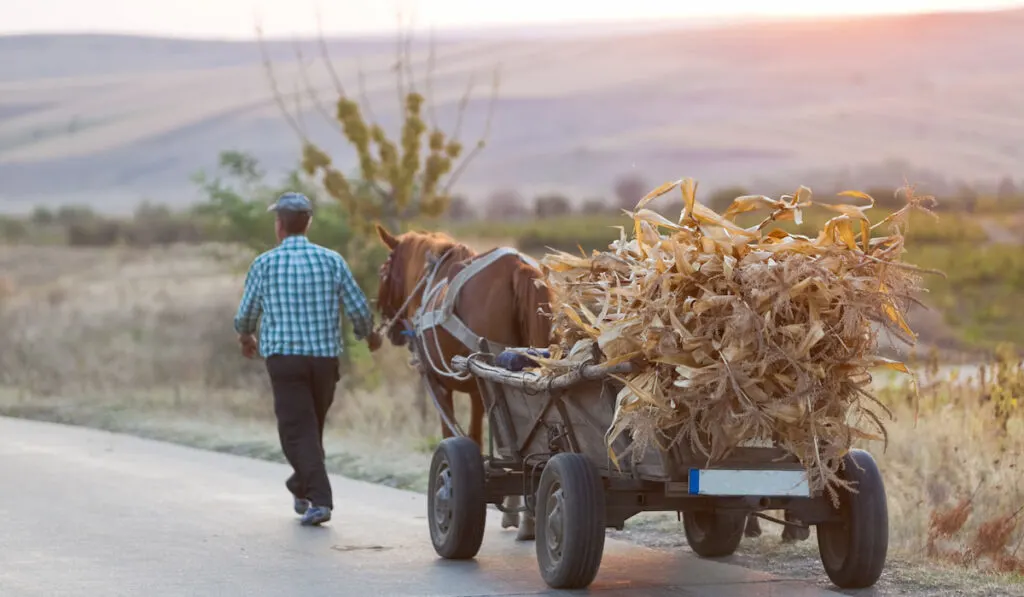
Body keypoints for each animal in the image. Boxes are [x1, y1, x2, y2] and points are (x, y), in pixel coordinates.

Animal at [374, 224, 552, 540]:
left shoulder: (446, 386)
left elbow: (459, 437)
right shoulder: (484, 392)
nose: (387, 324)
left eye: (383, 271)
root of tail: (516, 266)